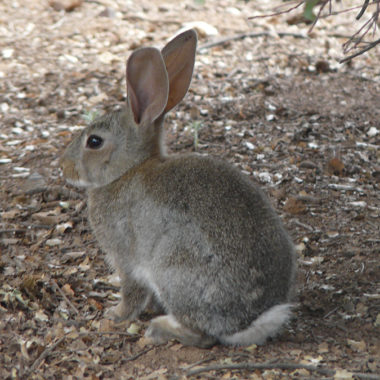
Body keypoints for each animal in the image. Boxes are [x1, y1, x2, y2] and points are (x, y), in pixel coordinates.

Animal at [60, 29, 296, 348]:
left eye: (94, 142)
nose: (63, 166)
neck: (127, 171)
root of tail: (248, 321)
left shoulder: (126, 257)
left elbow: (132, 291)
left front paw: (116, 314)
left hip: (173, 268)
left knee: (202, 335)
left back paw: (160, 328)